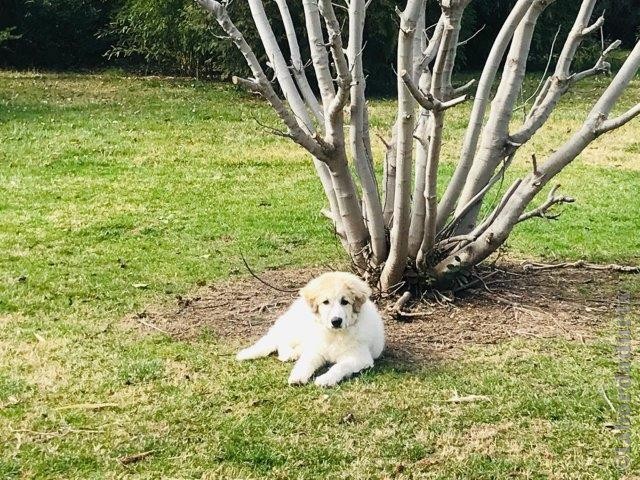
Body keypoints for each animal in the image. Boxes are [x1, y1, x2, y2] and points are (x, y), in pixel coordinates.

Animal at [236, 272, 382, 388]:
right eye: (325, 302)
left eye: (344, 302)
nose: (336, 321)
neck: (334, 335)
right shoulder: (315, 350)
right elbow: (306, 362)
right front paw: (297, 376)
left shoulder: (359, 358)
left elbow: (340, 366)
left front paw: (325, 379)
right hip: (298, 328)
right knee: (281, 341)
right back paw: (288, 354)